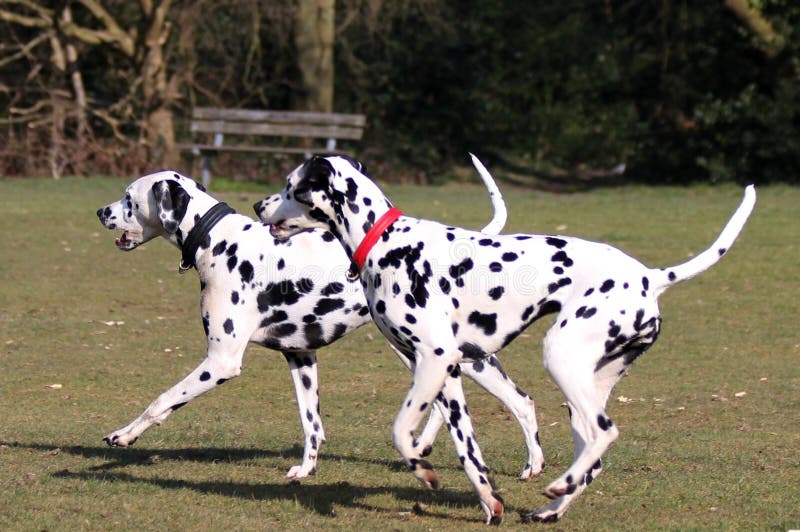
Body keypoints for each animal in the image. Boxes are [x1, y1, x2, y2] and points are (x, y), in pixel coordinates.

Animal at [92, 163, 544, 486]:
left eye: (128, 197)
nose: (100, 211)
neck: (218, 240)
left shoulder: (220, 361)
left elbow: (161, 401)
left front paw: (124, 435)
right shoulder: (301, 356)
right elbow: (312, 424)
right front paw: (306, 469)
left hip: (454, 357)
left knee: (519, 400)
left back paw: (531, 465)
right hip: (427, 355)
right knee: (481, 403)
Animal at [262, 154, 756, 524]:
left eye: (291, 186)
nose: (259, 204)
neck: (386, 241)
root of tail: (652, 277)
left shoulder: (434, 360)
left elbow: (402, 432)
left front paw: (424, 472)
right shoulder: (448, 376)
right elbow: (469, 455)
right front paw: (489, 504)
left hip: (559, 358)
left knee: (605, 434)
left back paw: (558, 486)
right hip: (580, 391)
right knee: (591, 455)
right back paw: (552, 508)